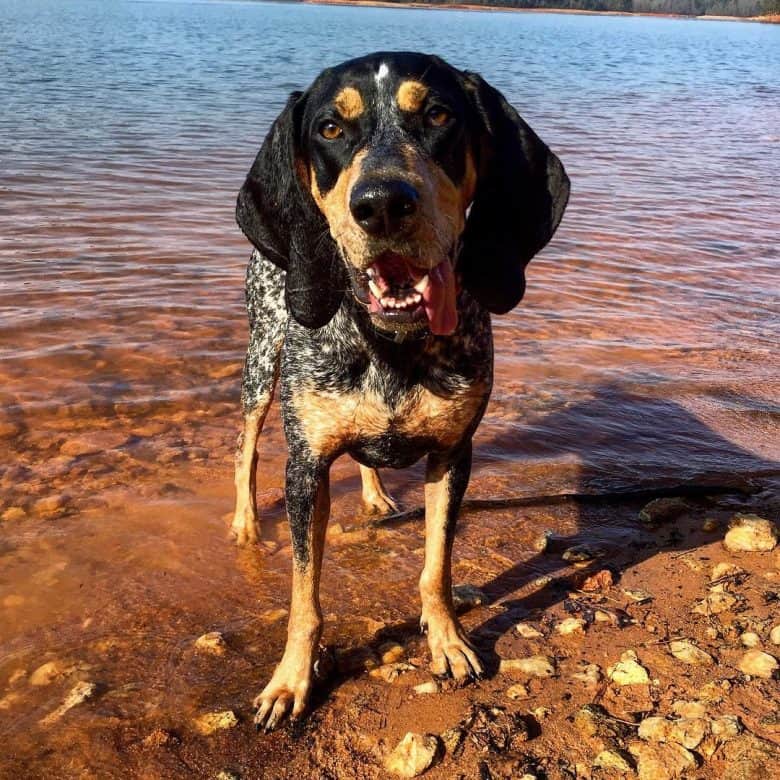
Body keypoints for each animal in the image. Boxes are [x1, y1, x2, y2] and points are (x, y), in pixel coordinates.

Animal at [232, 51, 568, 728]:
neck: (391, 342)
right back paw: (246, 523)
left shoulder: (453, 454)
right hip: (261, 359)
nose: (383, 203)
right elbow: (304, 598)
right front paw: (291, 680)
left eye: (438, 115)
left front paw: (448, 640)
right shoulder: (305, 466)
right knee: (245, 444)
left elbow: (436, 568)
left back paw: (376, 494)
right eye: (330, 129)